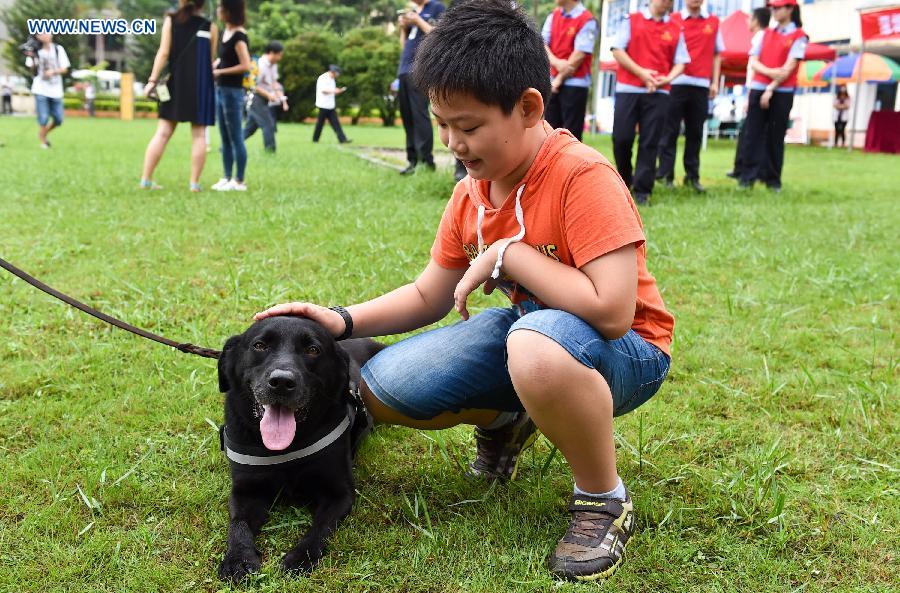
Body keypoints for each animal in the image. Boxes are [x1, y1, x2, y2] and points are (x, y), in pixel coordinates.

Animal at [220, 316, 384, 580]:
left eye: (313, 350)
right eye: (259, 346)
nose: (281, 382)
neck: (285, 448)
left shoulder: (339, 494)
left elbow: (321, 527)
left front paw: (300, 558)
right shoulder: (245, 491)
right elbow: (238, 524)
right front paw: (238, 559)